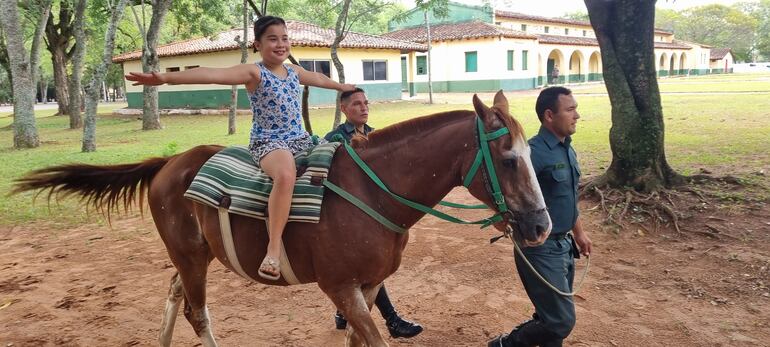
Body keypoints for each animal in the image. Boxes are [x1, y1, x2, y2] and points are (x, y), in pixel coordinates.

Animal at [15, 92, 548, 347]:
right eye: (508, 159)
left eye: (530, 153)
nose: (541, 227)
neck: (371, 193)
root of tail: (169, 164)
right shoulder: (340, 286)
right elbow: (371, 340)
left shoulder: (369, 285)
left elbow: (357, 339)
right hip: (191, 256)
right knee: (196, 312)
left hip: (193, 255)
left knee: (173, 292)